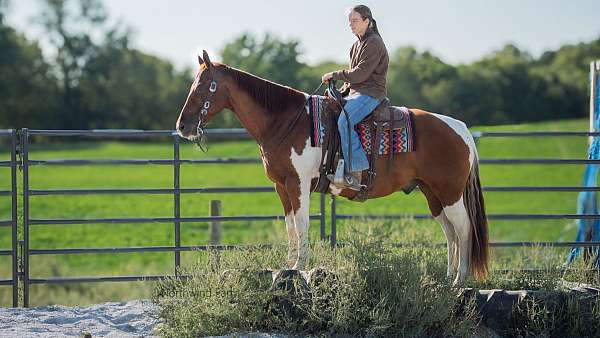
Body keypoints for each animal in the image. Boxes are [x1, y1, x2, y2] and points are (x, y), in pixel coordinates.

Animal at [176, 50, 490, 286]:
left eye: (203, 85)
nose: (183, 126)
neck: (285, 121)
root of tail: (461, 129)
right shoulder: (281, 186)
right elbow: (290, 226)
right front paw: (287, 265)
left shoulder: (298, 182)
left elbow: (301, 223)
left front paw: (299, 268)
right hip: (433, 194)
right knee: (449, 232)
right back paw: (448, 278)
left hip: (450, 193)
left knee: (463, 228)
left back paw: (460, 280)